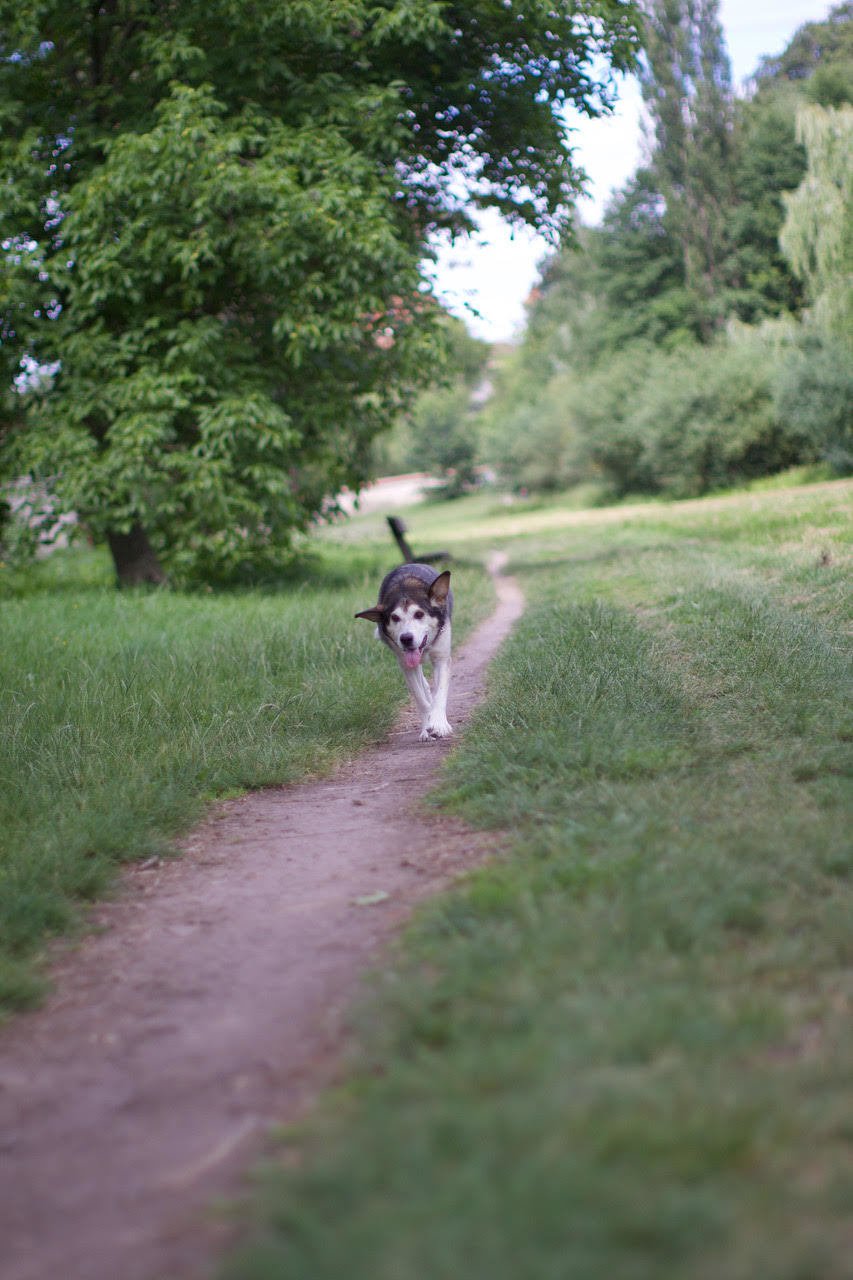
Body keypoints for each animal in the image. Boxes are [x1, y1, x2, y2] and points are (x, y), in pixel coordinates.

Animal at [353, 563, 450, 742]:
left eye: (419, 614)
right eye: (395, 618)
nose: (406, 638)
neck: (405, 586)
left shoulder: (441, 657)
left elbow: (440, 693)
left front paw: (439, 724)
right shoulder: (406, 664)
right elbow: (420, 698)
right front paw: (427, 726)